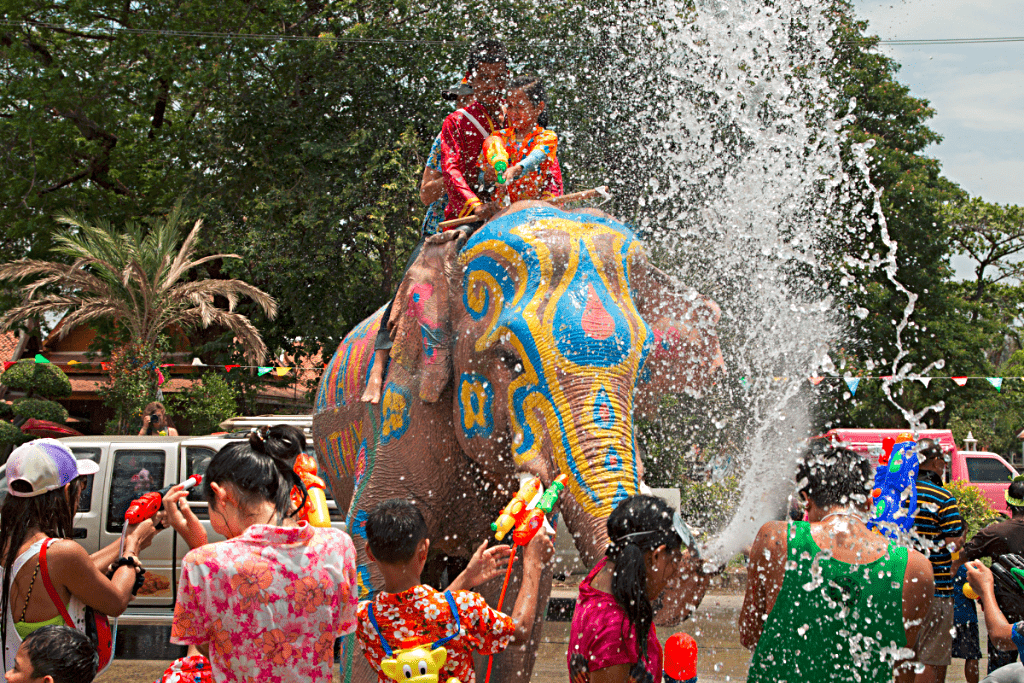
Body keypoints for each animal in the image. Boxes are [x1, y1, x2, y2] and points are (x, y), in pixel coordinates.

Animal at [315, 200, 724, 683]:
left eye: (643, 366)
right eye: (509, 360)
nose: (676, 562)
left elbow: (509, 603)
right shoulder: (402, 408)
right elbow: (370, 543)